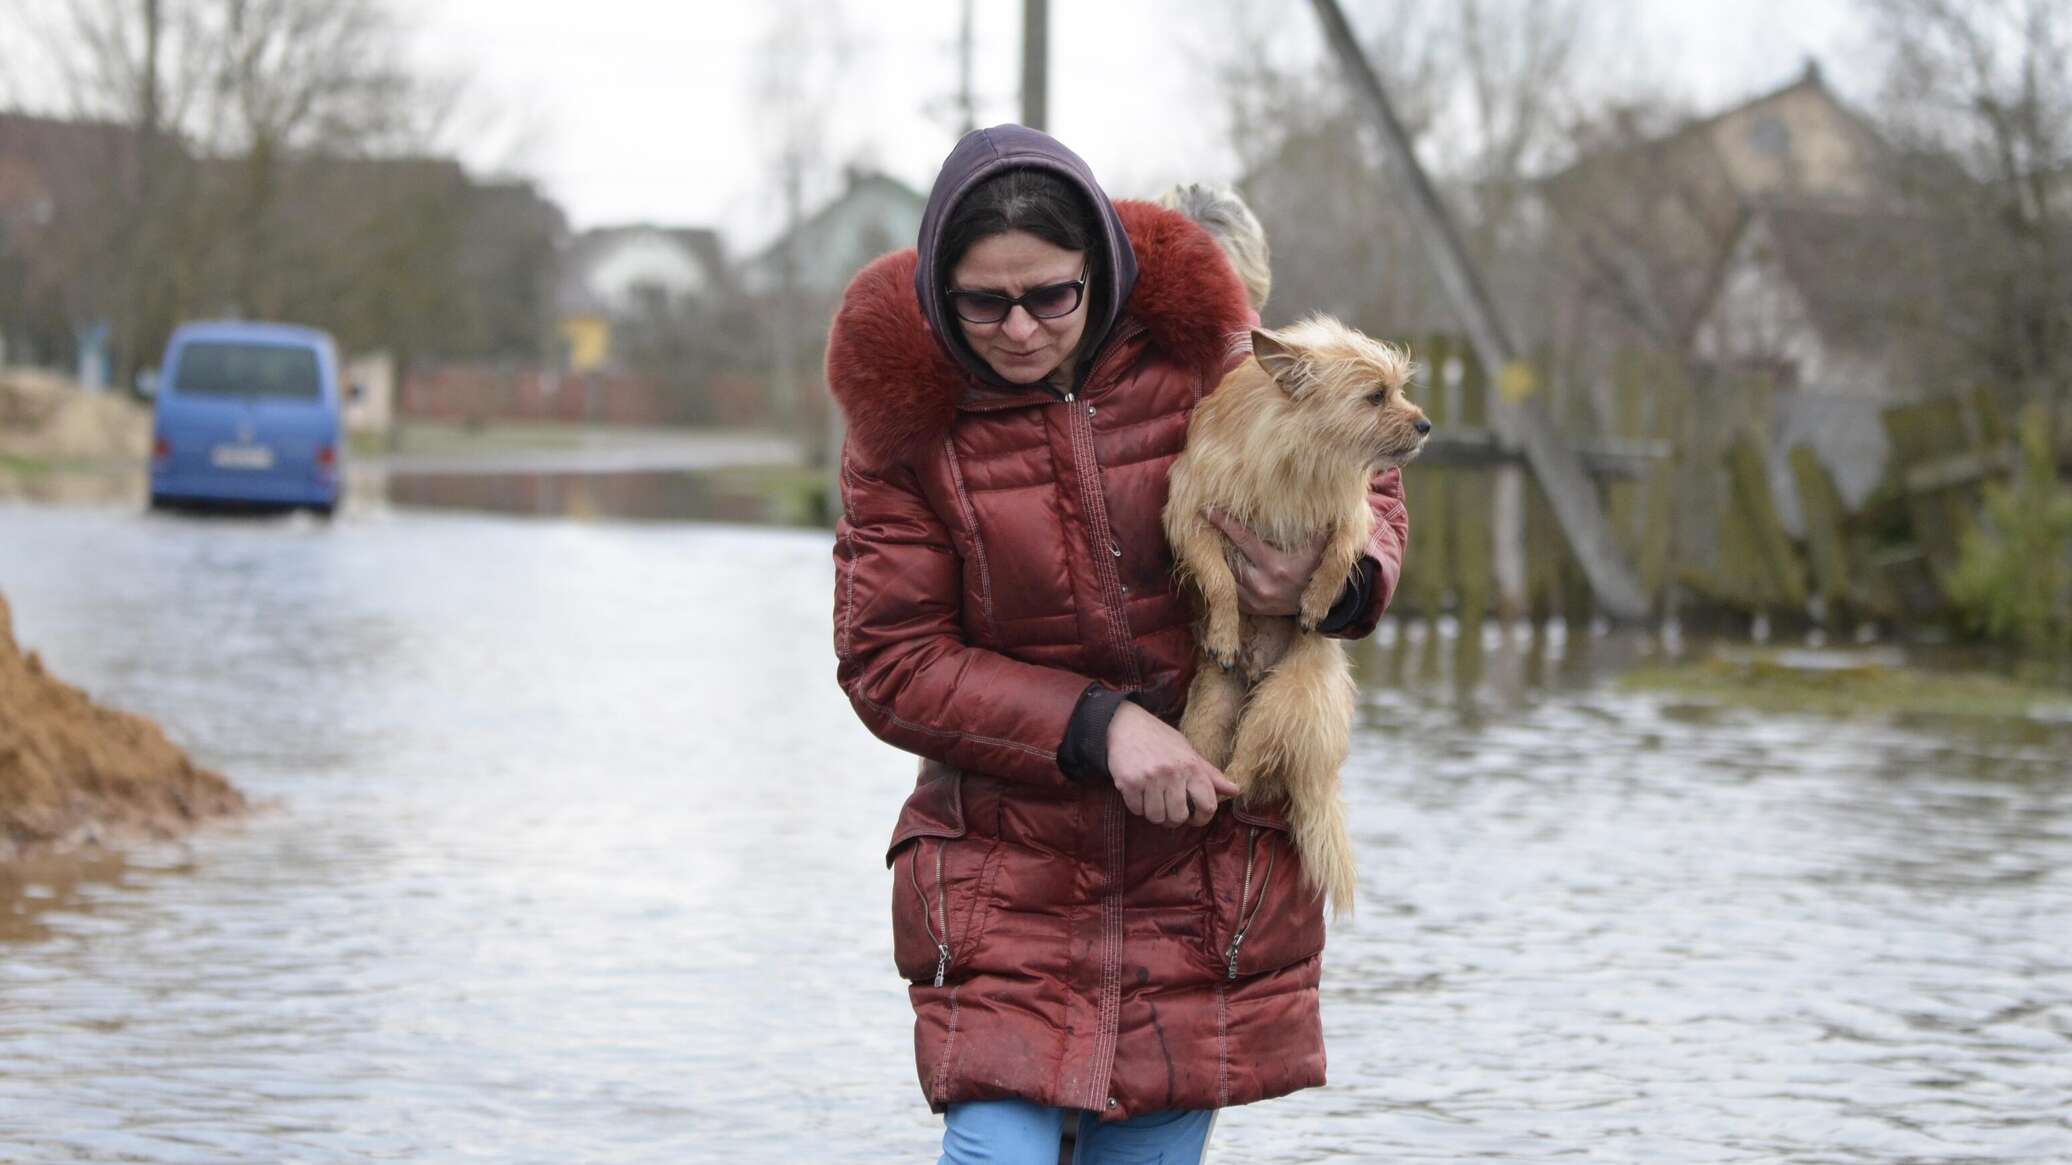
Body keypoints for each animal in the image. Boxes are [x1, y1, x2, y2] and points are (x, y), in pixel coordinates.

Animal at [1168, 315, 1425, 907]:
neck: (1304, 453)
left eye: (1397, 390)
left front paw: (1314, 602)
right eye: (1376, 396)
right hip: (1211, 708)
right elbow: (1218, 576)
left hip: (1281, 703)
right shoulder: (1192, 512)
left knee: (1246, 771)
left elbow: (1339, 554)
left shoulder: (1351, 511)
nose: (1426, 424)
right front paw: (1224, 626)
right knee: (1225, 766)